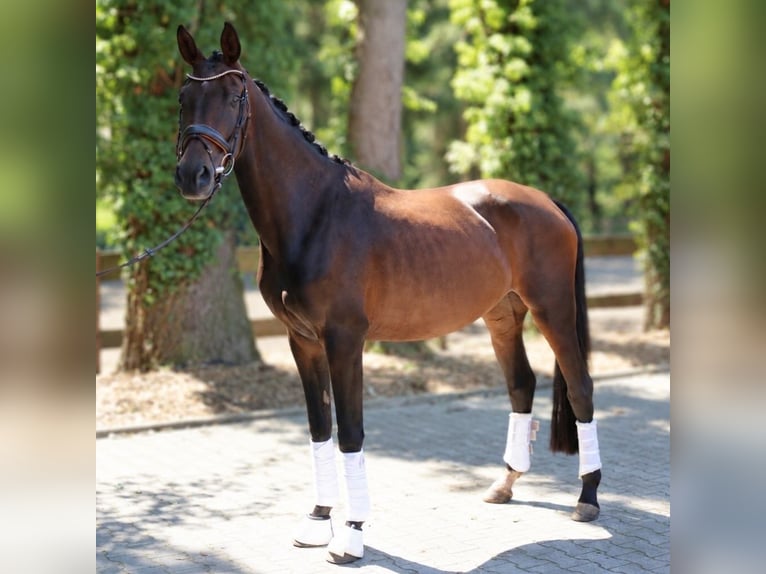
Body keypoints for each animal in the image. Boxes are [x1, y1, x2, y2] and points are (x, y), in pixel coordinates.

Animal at [174, 22, 602, 564]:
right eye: (184, 97)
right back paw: (505, 484)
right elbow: (320, 427)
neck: (316, 214)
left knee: (581, 385)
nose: (193, 176)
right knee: (521, 384)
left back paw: (587, 497)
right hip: (502, 315)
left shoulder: (344, 340)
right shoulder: (302, 341)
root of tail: (546, 200)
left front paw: (351, 534)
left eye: (233, 96)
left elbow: (351, 431)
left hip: (553, 309)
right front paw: (318, 521)